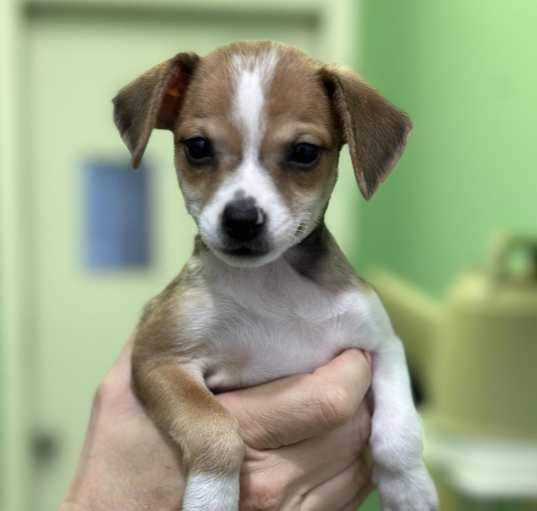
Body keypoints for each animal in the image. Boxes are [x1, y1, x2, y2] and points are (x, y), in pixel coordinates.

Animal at [112, 41, 436, 511]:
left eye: (304, 152)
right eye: (197, 147)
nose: (242, 219)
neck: (274, 284)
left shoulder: (382, 344)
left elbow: (399, 432)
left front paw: (409, 488)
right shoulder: (161, 360)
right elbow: (214, 428)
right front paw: (211, 498)